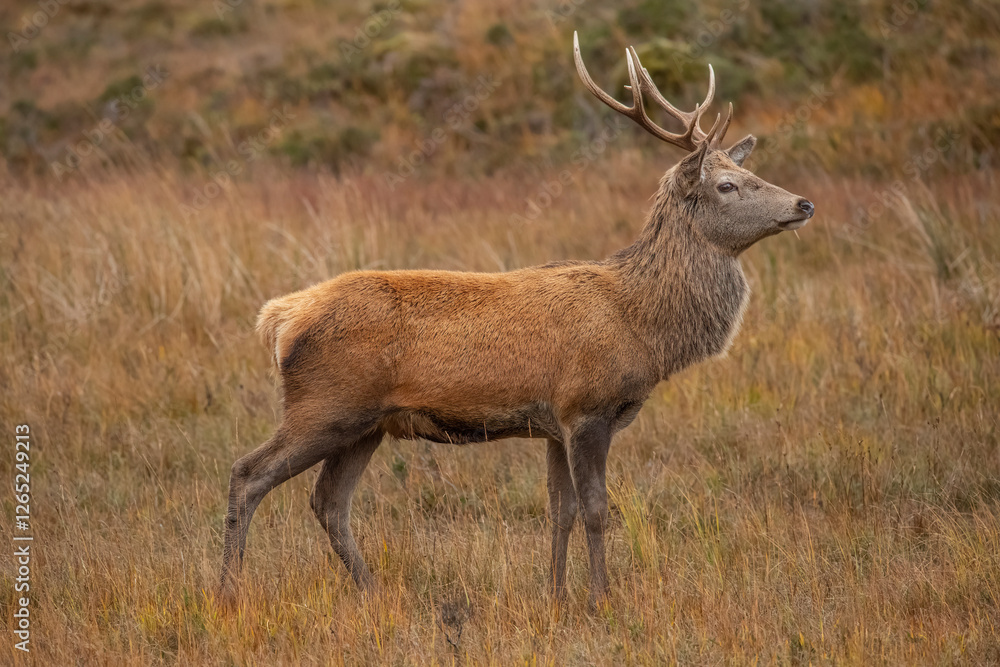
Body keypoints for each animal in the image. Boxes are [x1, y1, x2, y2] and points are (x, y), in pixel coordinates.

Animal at [219, 32, 815, 609]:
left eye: (751, 171)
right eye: (726, 186)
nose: (804, 204)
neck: (641, 325)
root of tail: (280, 318)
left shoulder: (554, 423)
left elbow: (561, 512)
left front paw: (557, 595)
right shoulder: (587, 407)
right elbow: (596, 509)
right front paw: (603, 600)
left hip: (367, 423)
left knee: (329, 502)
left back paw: (374, 592)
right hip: (325, 405)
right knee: (249, 474)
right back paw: (230, 591)